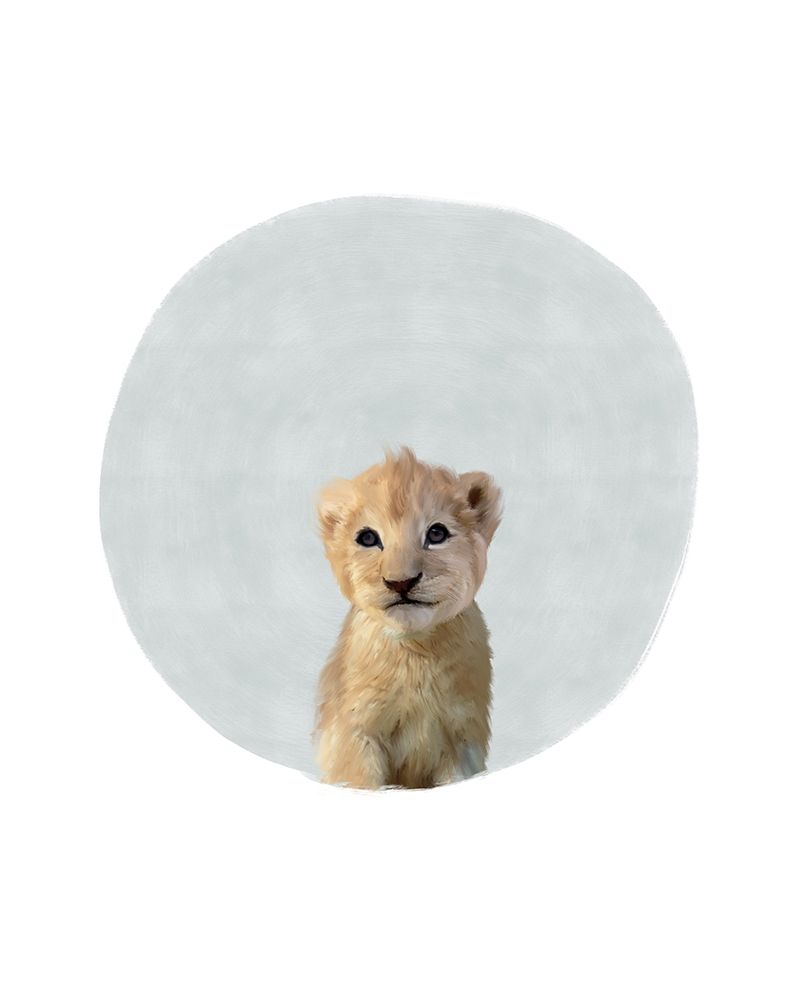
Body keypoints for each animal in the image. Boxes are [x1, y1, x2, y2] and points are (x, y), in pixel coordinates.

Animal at [313, 446, 502, 789]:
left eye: (437, 533)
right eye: (367, 538)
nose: (401, 582)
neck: (415, 651)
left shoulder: (461, 739)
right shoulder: (355, 735)